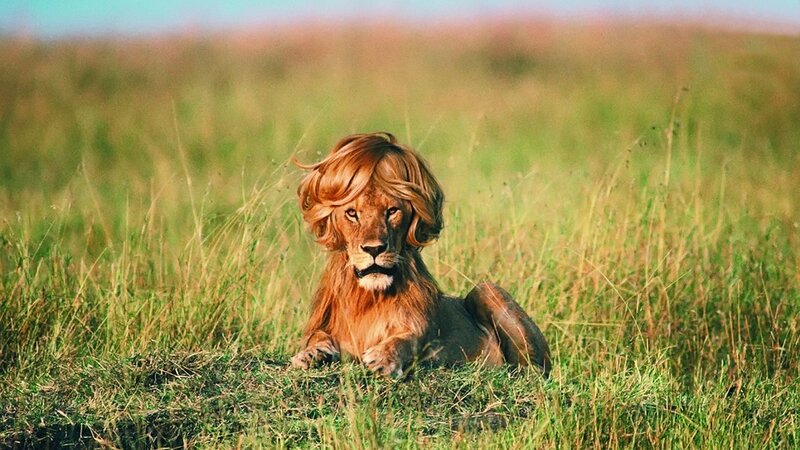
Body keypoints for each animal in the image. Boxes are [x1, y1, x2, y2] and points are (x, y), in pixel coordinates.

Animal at [290, 132, 550, 377]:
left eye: (392, 211)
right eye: (352, 213)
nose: (374, 249)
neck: (368, 298)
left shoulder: (425, 335)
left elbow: (407, 339)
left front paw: (384, 358)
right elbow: (317, 335)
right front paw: (311, 354)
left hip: (487, 289)